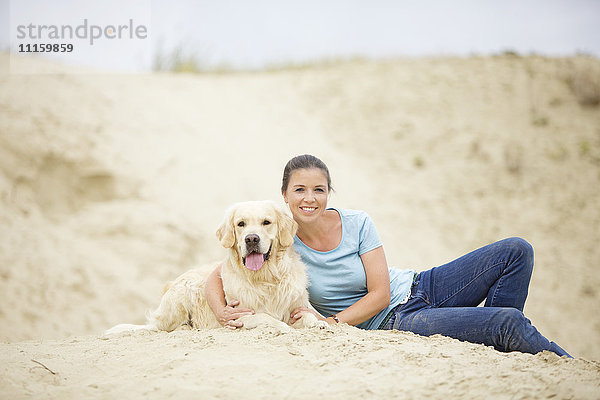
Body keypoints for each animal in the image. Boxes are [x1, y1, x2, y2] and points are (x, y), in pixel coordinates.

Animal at [105, 200, 326, 334]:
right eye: (241, 224)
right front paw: (283, 326)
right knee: (161, 327)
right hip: (184, 290)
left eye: (266, 222)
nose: (251, 239)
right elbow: (266, 318)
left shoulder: (296, 305)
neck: (265, 279)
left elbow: (309, 315)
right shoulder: (240, 317)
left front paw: (319, 323)